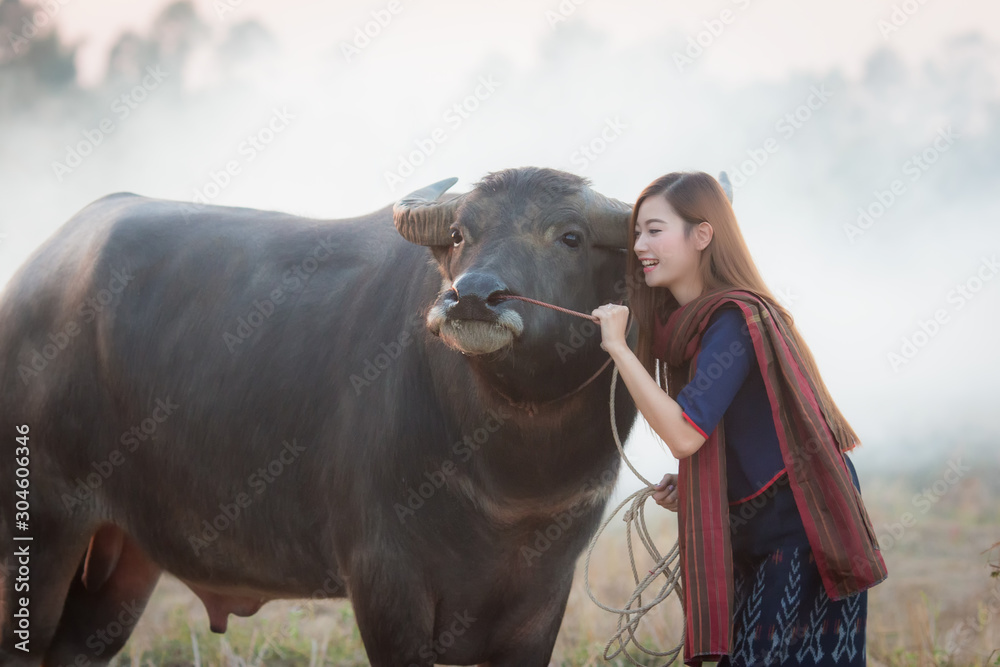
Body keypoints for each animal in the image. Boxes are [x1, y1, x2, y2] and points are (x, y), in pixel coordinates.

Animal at [0, 164, 640, 664]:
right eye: (461, 233)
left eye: (572, 236)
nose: (474, 296)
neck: (510, 479)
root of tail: (32, 278)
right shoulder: (383, 581)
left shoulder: (543, 596)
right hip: (41, 526)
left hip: (124, 550)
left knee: (78, 647)